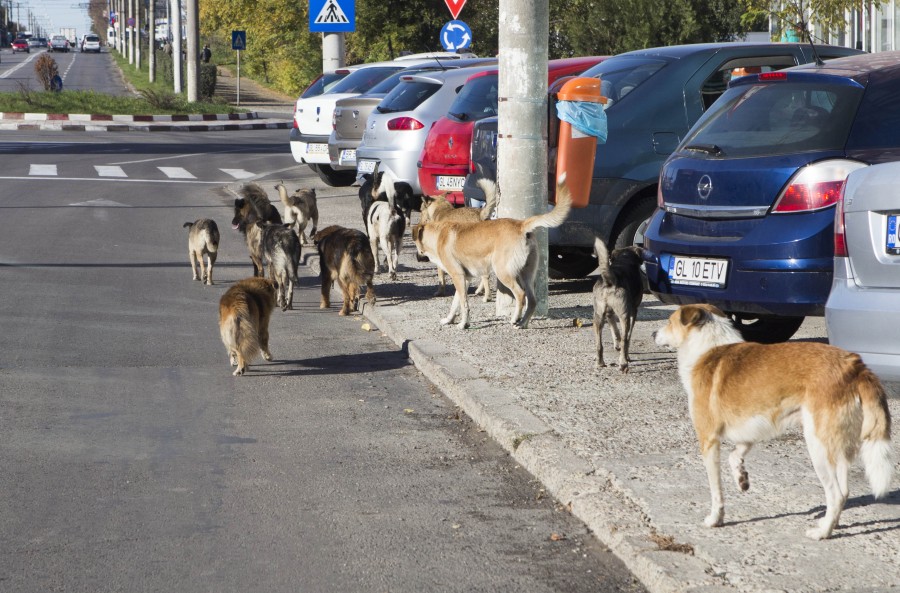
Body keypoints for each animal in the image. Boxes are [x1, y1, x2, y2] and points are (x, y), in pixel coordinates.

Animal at [414, 173, 572, 328]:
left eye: (421, 210)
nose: (417, 257)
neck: (439, 232)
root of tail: (521, 225)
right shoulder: (464, 279)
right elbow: (455, 302)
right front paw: (449, 319)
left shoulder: (457, 276)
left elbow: (464, 304)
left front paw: (463, 323)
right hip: (526, 274)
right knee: (532, 300)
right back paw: (523, 323)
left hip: (503, 271)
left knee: (520, 295)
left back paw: (515, 318)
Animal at [652, 302, 892, 540]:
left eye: (670, 322)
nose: (653, 333)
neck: (706, 348)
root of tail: (856, 367)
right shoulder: (750, 429)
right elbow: (734, 455)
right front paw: (741, 478)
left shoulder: (708, 440)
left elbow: (716, 490)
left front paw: (715, 519)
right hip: (838, 449)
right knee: (844, 490)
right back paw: (830, 523)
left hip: (818, 447)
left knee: (837, 494)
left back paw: (823, 532)